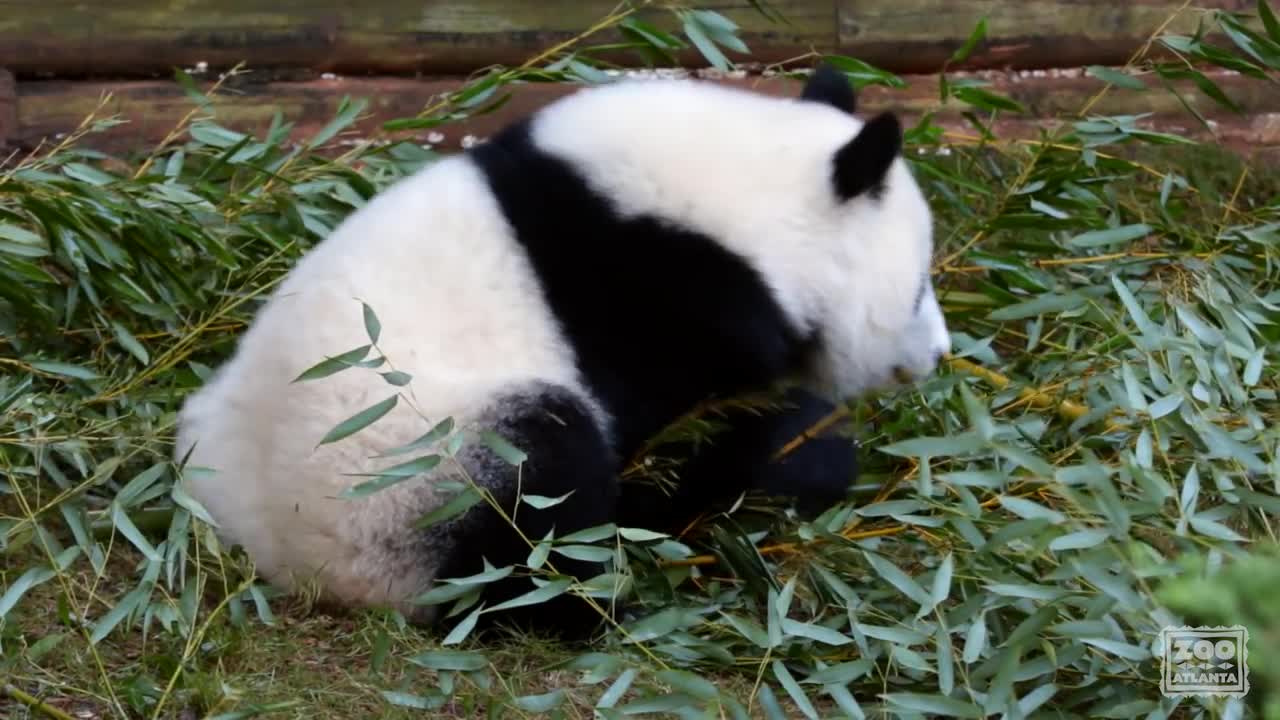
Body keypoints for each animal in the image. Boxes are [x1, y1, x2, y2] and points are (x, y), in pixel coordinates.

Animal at [172, 64, 952, 635]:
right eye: (917, 287)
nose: (942, 354)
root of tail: (284, 563)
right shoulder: (670, 295)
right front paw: (790, 452)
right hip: (403, 481)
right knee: (538, 491)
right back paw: (602, 600)